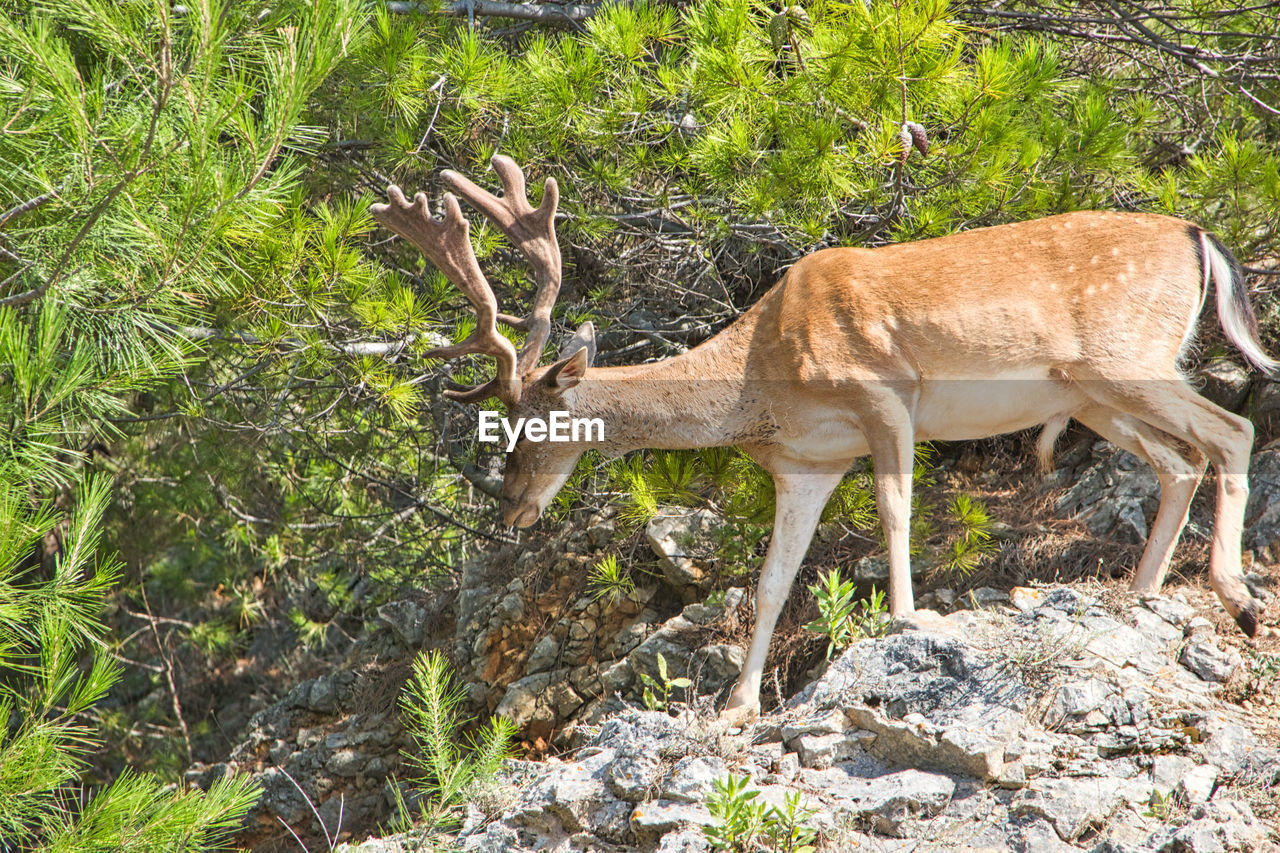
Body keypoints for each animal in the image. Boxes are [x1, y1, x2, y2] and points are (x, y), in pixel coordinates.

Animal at [371, 154, 1269, 717]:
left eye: (530, 425)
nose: (511, 507)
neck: (759, 375)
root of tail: (1202, 236)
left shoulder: (885, 392)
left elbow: (897, 512)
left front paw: (906, 621)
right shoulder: (807, 461)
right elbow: (773, 580)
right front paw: (737, 705)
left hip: (1126, 357)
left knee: (1233, 429)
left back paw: (1236, 593)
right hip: (1091, 393)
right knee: (1181, 460)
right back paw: (1141, 594)